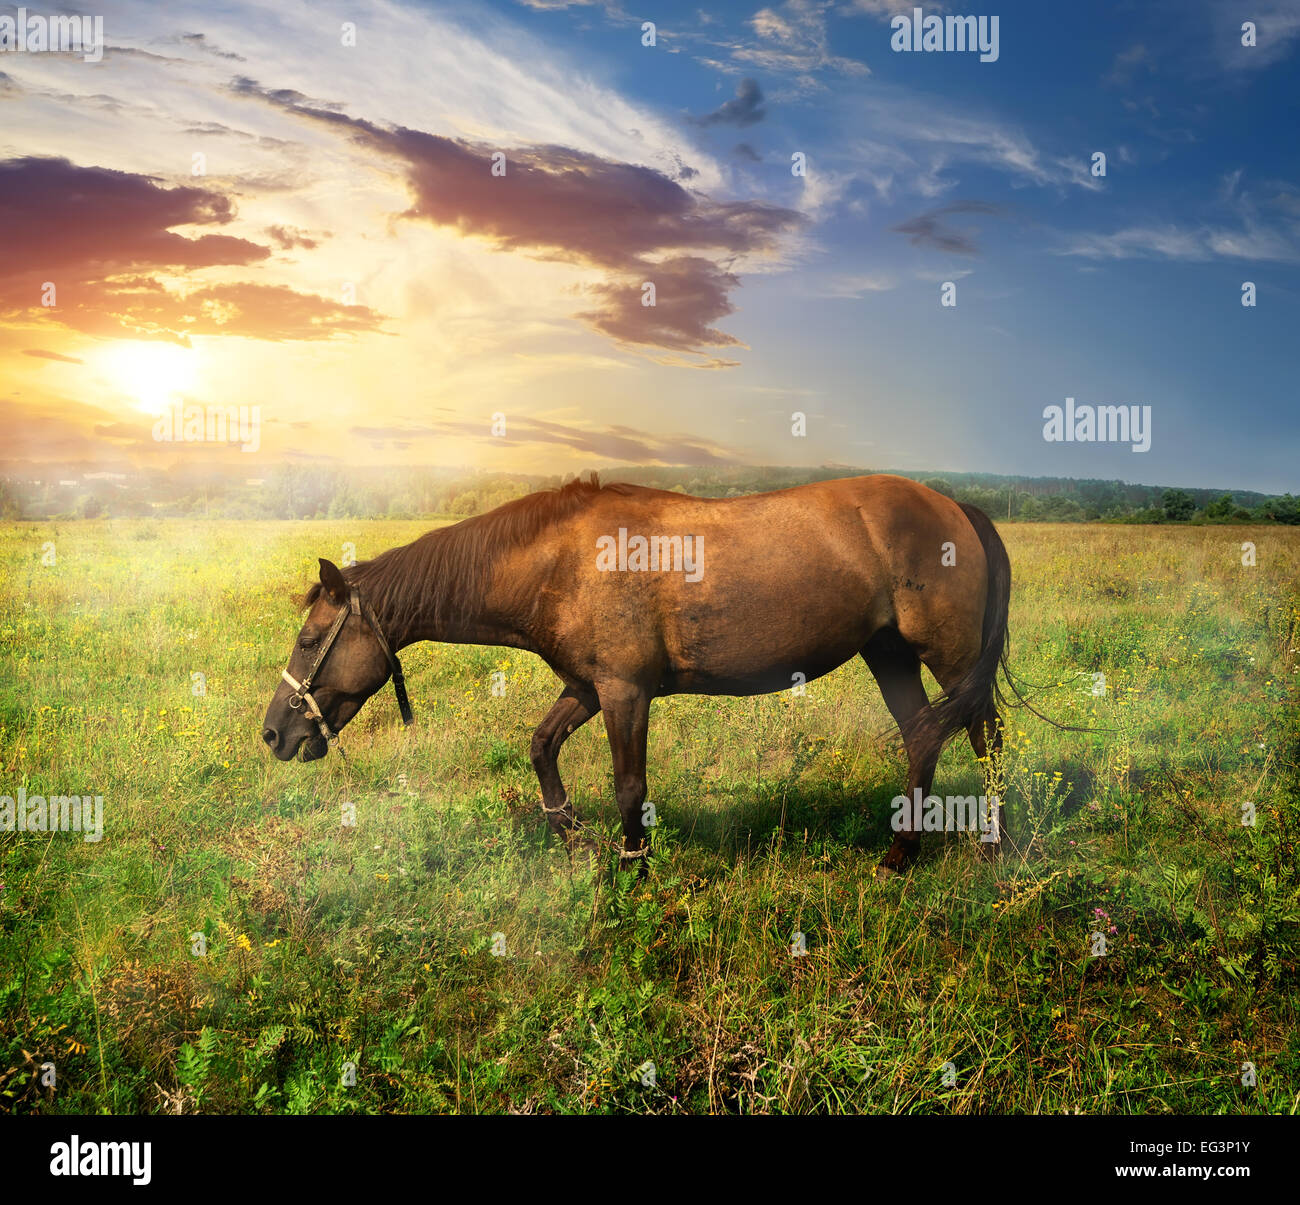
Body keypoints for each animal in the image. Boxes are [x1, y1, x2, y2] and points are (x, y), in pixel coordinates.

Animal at [263, 473, 1008, 878]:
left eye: (308, 639)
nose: (274, 733)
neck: (560, 560)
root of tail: (956, 507)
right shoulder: (586, 688)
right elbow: (542, 747)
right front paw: (572, 835)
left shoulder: (625, 693)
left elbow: (629, 785)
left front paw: (632, 864)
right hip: (889, 653)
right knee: (923, 736)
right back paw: (901, 852)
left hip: (948, 655)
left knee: (986, 739)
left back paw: (991, 849)